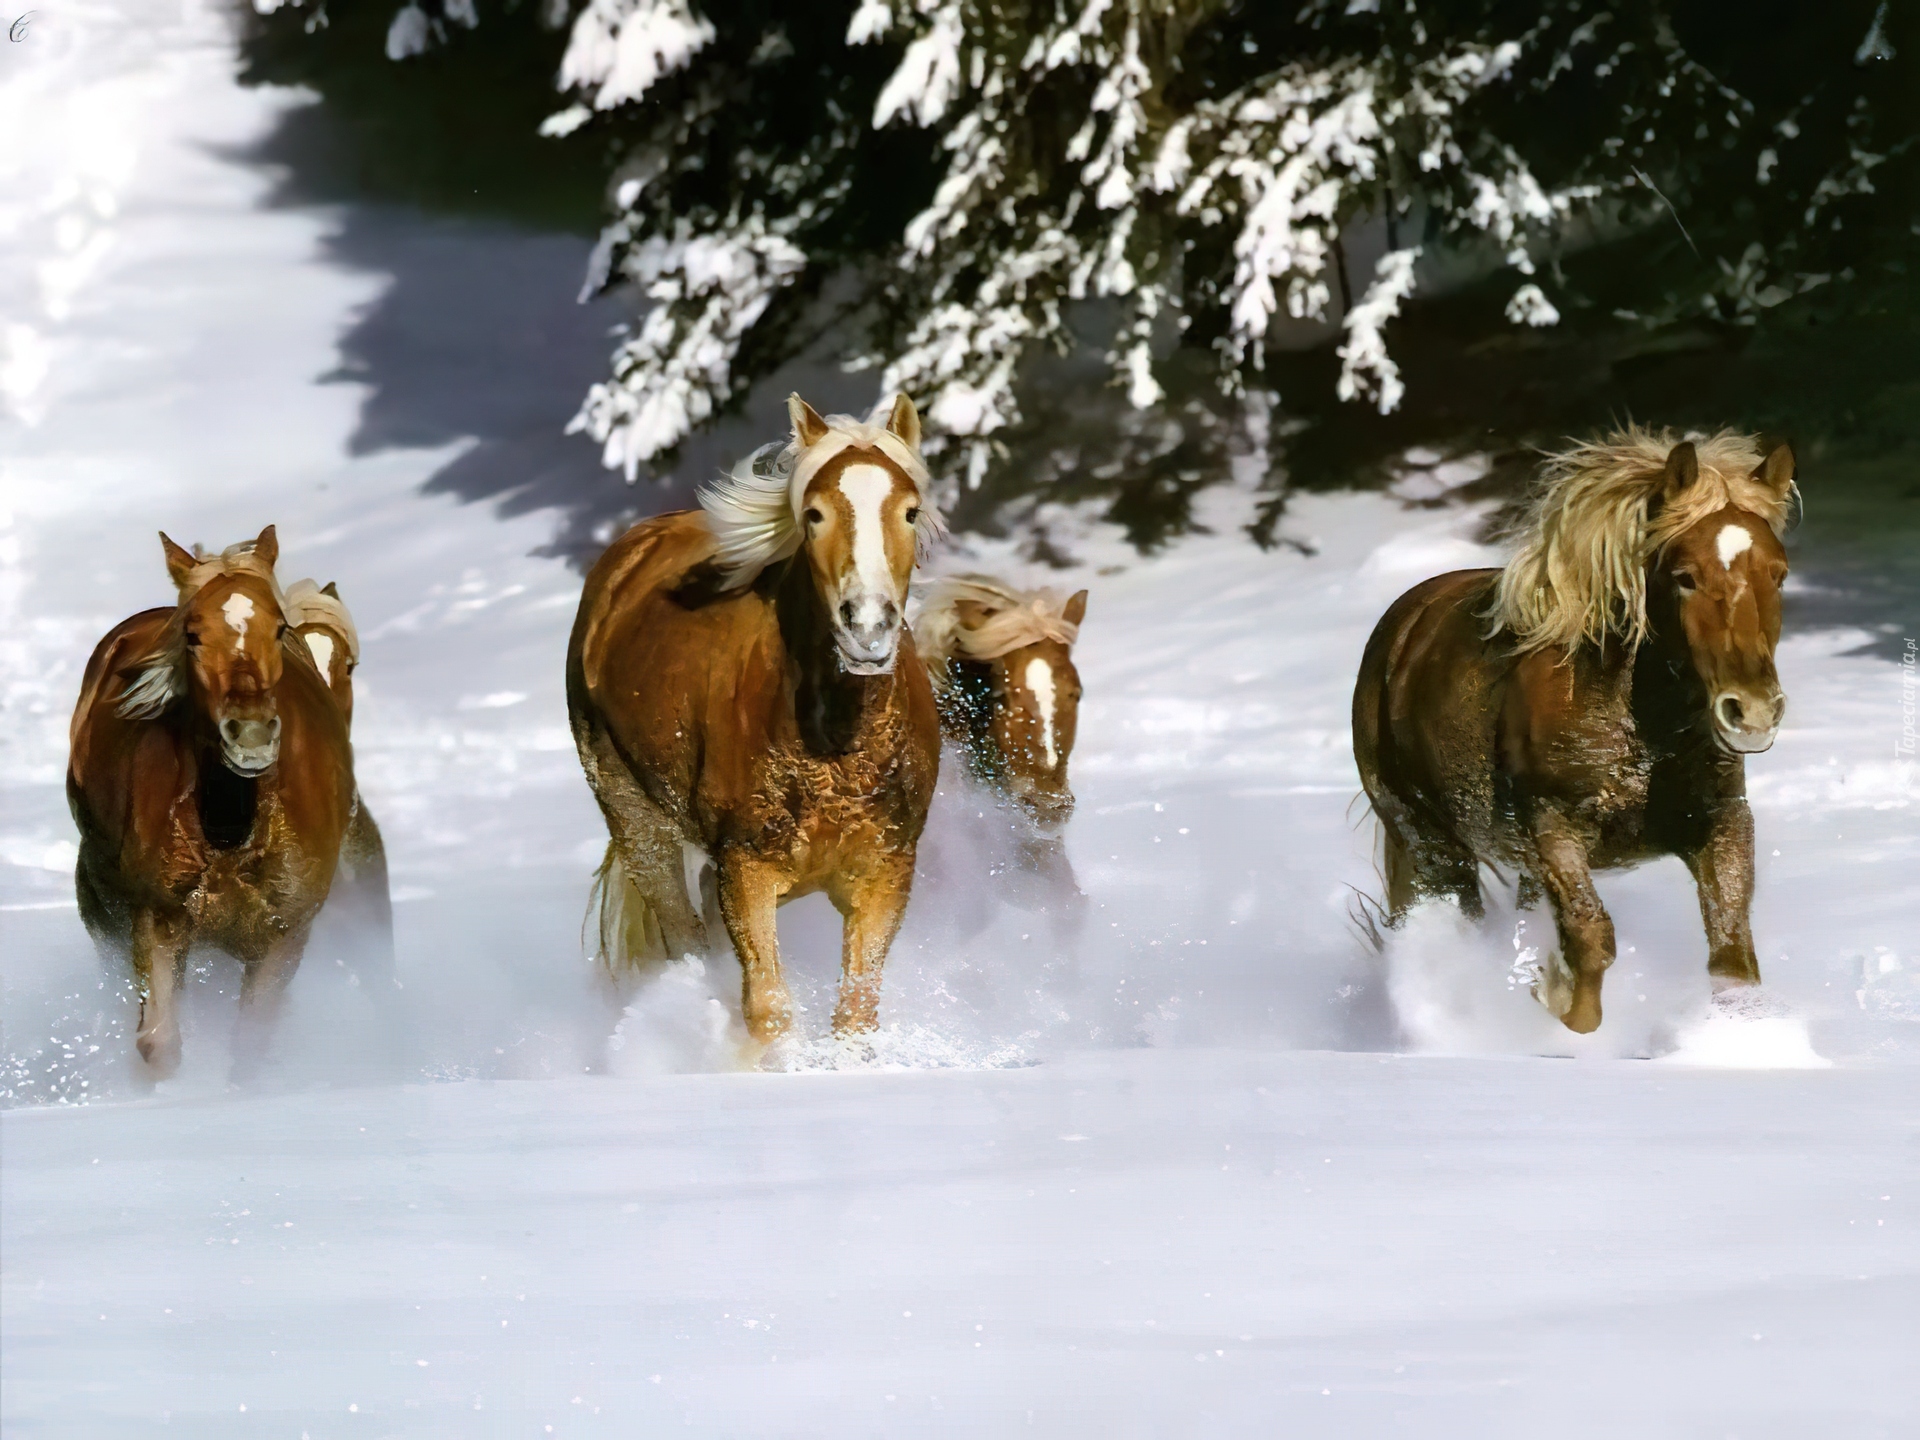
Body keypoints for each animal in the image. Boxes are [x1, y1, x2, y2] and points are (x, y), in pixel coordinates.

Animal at [66, 526, 357, 1075]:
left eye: (279, 629)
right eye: (193, 635)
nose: (250, 735)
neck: (232, 827)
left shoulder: (284, 936)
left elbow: (249, 1047)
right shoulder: (157, 918)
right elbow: (158, 1043)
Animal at [564, 395, 948, 1052]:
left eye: (909, 510)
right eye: (815, 513)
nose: (867, 628)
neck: (836, 752)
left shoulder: (886, 871)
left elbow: (855, 1014)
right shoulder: (746, 869)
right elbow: (769, 1009)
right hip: (639, 824)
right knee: (685, 940)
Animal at [1351, 428, 1797, 1036]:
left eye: (1778, 573)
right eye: (1684, 576)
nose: (1751, 713)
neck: (1641, 735)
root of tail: (1401, 624)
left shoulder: (1722, 822)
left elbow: (1732, 956)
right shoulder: (1552, 830)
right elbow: (1591, 943)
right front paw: (1553, 1002)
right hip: (1428, 839)